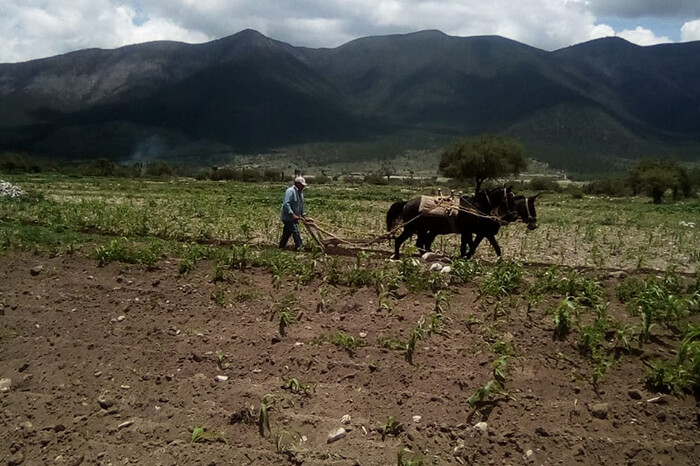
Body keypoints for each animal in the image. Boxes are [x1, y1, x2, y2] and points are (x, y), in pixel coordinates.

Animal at [388, 186, 516, 258]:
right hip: (411, 228)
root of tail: (406, 203)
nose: (513, 215)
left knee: (420, 244)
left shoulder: (470, 232)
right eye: (510, 198)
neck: (474, 207)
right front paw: (466, 257)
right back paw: (397, 256)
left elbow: (469, 245)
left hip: (421, 229)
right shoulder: (471, 231)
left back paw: (427, 255)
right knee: (399, 240)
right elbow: (471, 246)